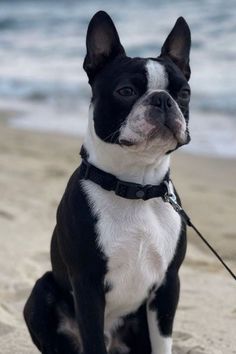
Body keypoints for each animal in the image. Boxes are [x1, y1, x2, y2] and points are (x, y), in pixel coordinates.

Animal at [24, 10, 191, 354]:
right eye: (126, 91)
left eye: (183, 93)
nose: (163, 100)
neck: (135, 188)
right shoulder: (87, 285)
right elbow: (91, 338)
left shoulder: (168, 285)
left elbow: (164, 342)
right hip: (42, 289)